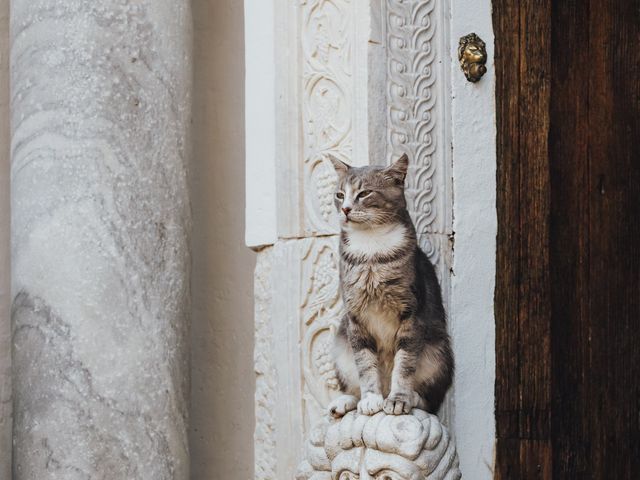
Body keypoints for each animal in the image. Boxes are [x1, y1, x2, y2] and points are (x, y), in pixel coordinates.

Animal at [324, 154, 456, 416]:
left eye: (364, 193)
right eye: (340, 195)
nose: (345, 209)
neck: (371, 251)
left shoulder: (411, 313)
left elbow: (404, 364)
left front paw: (398, 400)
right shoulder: (355, 316)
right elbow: (365, 364)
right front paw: (370, 399)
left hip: (439, 352)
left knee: (430, 401)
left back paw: (411, 398)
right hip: (342, 343)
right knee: (352, 382)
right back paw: (345, 402)